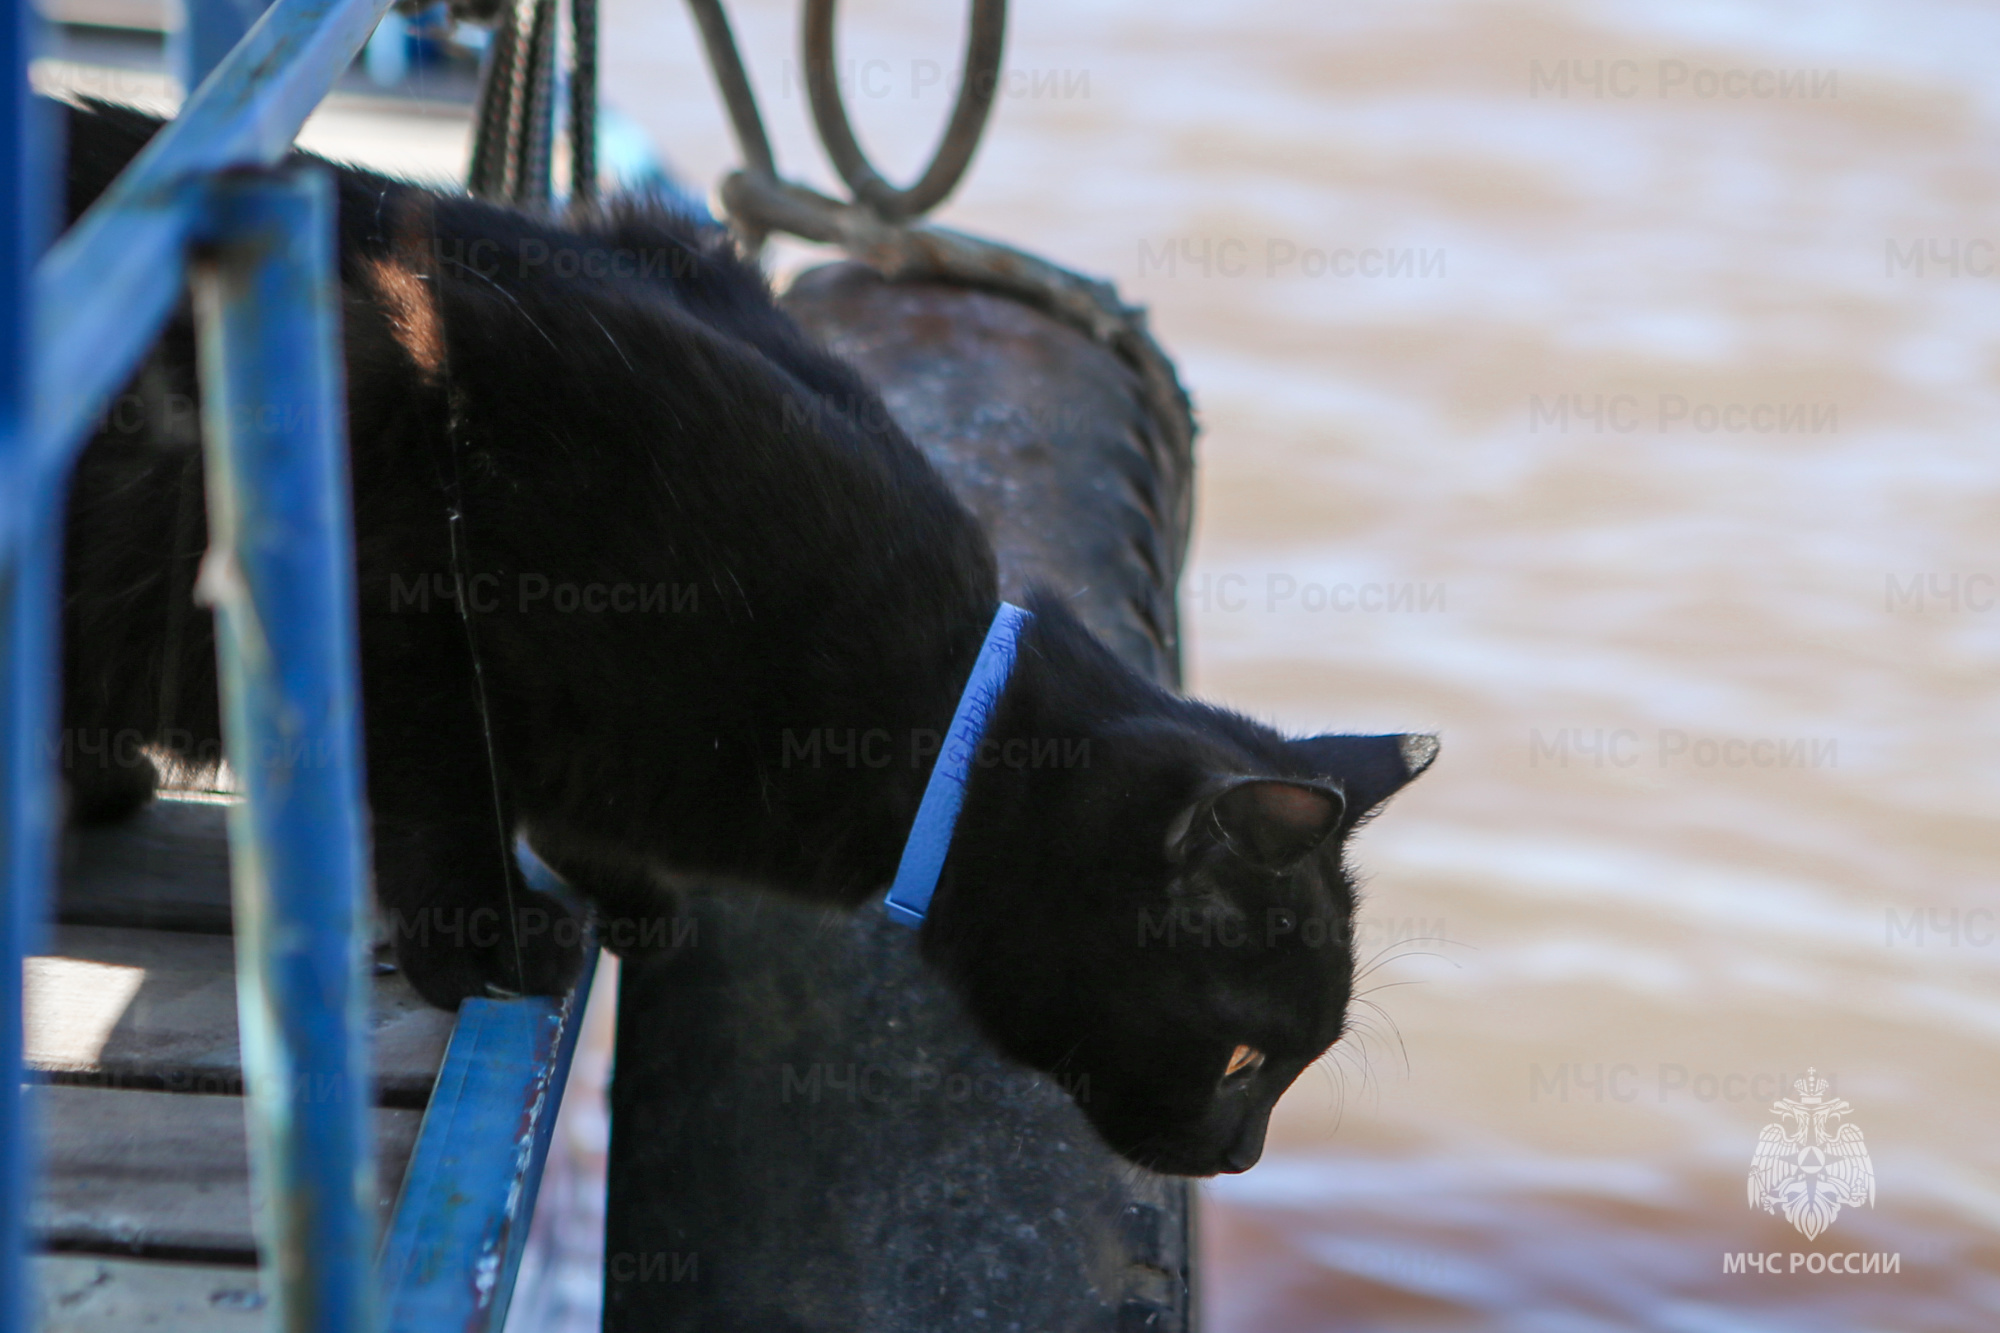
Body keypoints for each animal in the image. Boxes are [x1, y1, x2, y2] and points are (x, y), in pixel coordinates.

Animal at [58, 98, 1440, 1168]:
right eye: (1246, 1054)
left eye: (1289, 1065)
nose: (1241, 1153)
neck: (928, 717)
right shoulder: (413, 452)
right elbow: (437, 776)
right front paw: (491, 938)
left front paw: (628, 886)